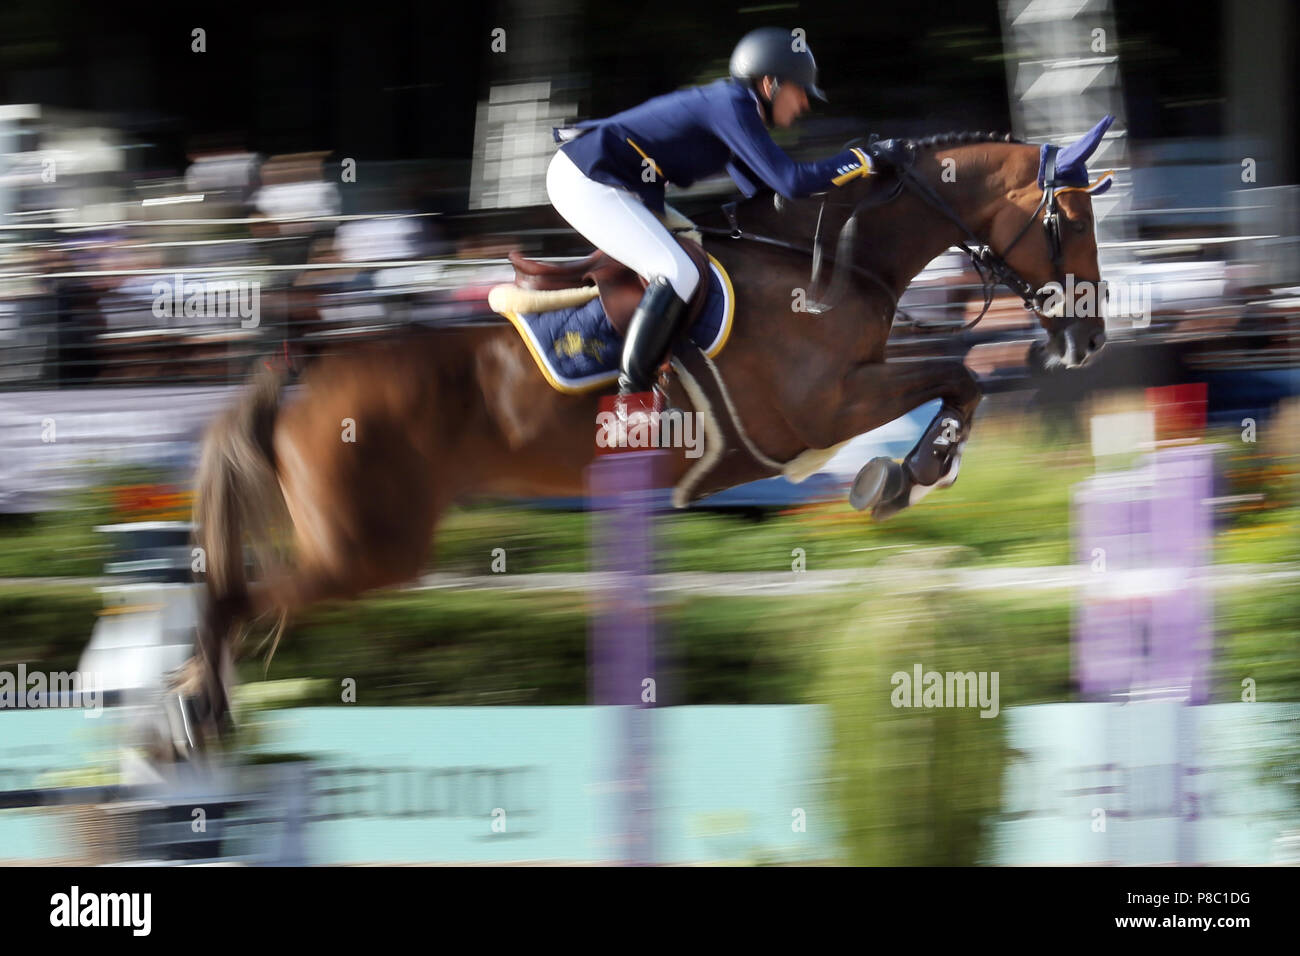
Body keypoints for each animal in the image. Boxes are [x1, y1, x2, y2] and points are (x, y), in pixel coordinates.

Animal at [178, 123, 1112, 749]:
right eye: (1072, 221)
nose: (1092, 338)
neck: (828, 261)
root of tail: (298, 387)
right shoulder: (820, 407)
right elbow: (960, 375)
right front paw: (912, 469)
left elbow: (959, 378)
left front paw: (909, 471)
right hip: (368, 548)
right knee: (236, 599)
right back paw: (190, 718)